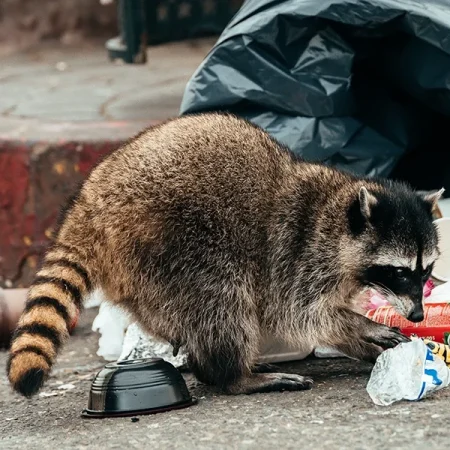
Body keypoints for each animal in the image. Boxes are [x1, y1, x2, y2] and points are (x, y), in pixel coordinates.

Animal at [7, 112, 442, 398]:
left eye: (426, 271)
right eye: (400, 272)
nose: (418, 314)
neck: (337, 211)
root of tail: (91, 204)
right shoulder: (297, 254)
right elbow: (303, 315)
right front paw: (360, 327)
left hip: (142, 272)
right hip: (173, 243)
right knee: (221, 302)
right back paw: (233, 375)